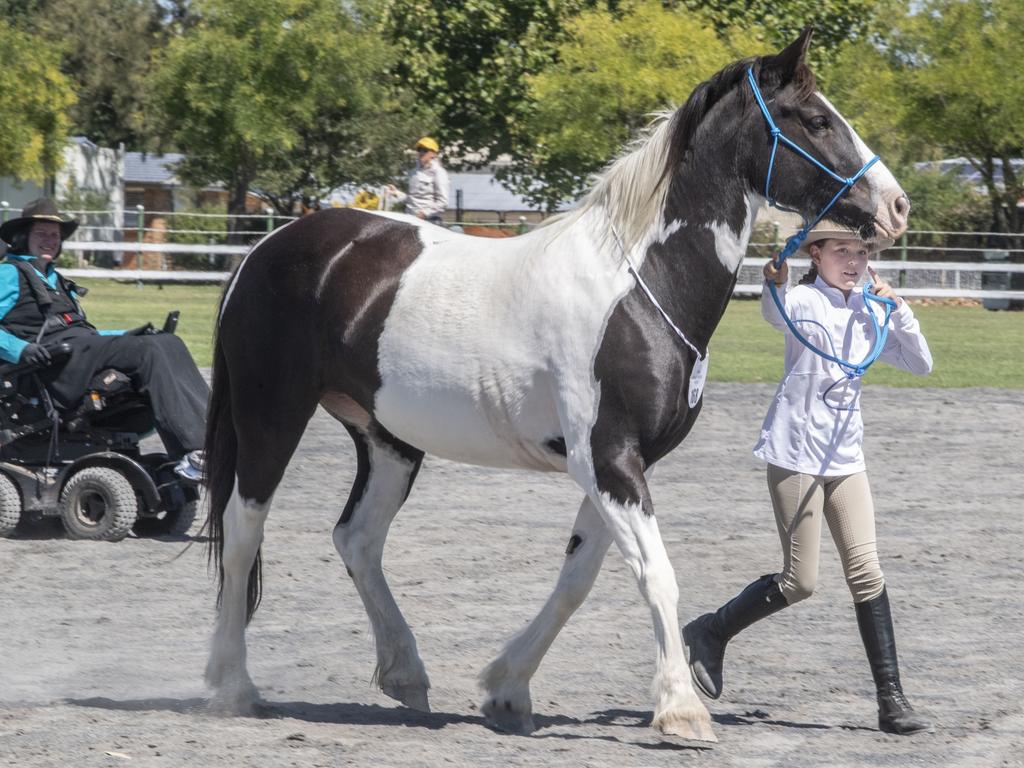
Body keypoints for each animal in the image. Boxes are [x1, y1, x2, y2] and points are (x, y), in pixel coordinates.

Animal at [203, 31, 909, 745]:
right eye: (816, 120)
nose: (896, 206)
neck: (637, 288)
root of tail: (264, 250)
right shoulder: (609, 459)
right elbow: (656, 574)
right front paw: (681, 710)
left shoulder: (619, 465)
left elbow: (578, 577)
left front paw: (507, 690)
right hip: (271, 416)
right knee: (243, 528)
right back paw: (233, 685)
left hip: (388, 441)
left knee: (358, 538)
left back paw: (405, 675)